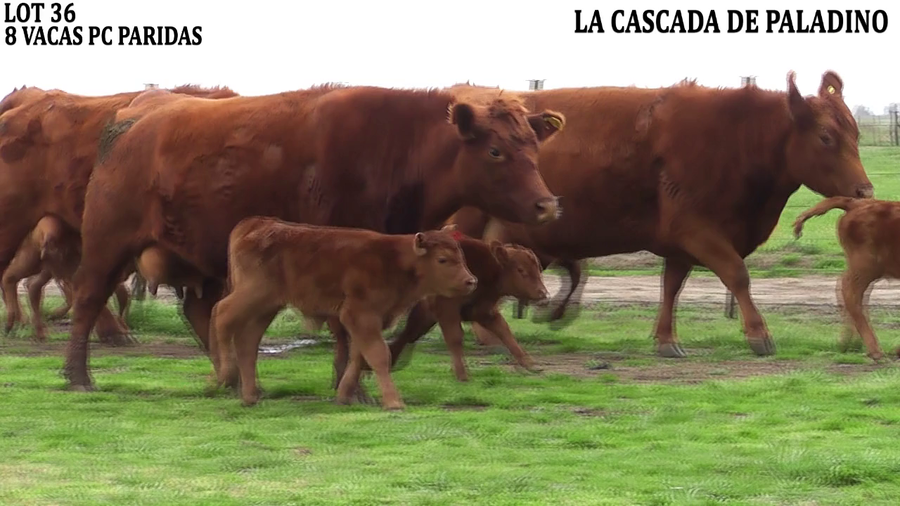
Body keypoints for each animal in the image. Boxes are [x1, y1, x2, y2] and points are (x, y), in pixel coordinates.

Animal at [209, 217, 477, 410]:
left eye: (461, 255)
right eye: (442, 259)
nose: (471, 281)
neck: (393, 260)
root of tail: (257, 223)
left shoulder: (369, 320)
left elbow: (359, 356)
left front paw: (345, 395)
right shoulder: (359, 314)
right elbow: (378, 355)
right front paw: (394, 402)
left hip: (266, 307)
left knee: (247, 342)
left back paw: (249, 396)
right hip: (253, 295)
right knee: (221, 314)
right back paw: (225, 374)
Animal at [385, 232, 549, 382]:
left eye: (538, 268)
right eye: (521, 270)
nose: (544, 294)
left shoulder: (483, 311)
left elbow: (505, 332)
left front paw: (531, 364)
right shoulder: (447, 309)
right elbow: (455, 337)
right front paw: (462, 374)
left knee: (410, 333)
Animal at [441, 70, 873, 359]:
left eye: (856, 134)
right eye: (826, 137)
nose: (865, 191)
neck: (735, 137)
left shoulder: (681, 243)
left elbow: (671, 286)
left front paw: (667, 341)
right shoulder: (696, 229)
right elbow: (737, 275)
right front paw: (758, 335)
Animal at [793, 197, 900, 362]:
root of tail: (856, 204)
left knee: (846, 288)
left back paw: (847, 342)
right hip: (866, 266)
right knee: (850, 291)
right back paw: (874, 350)